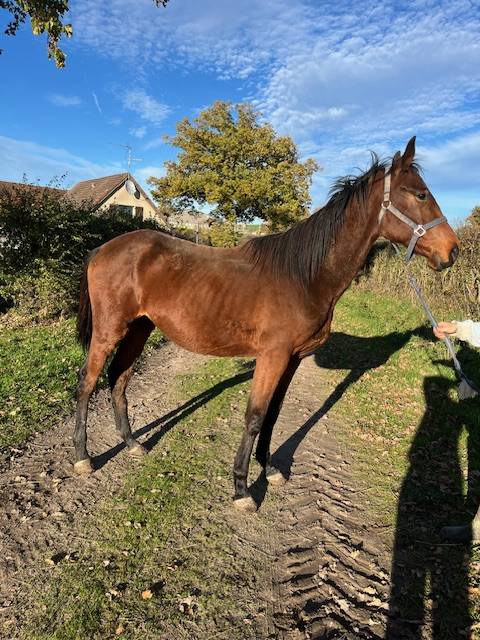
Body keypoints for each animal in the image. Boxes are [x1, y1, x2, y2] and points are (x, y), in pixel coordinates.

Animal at [74, 136, 459, 512]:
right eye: (421, 194)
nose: (452, 251)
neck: (303, 277)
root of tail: (102, 249)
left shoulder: (293, 359)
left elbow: (273, 414)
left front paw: (270, 468)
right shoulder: (272, 357)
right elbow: (255, 416)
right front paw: (242, 489)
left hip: (140, 329)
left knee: (118, 379)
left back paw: (132, 443)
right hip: (109, 331)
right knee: (88, 383)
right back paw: (83, 457)